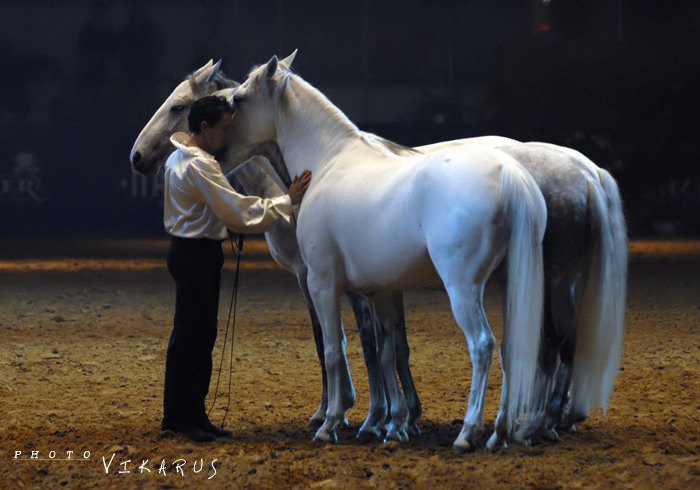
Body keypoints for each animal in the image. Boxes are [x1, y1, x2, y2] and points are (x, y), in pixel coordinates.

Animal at [227, 54, 548, 452]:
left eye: (238, 100)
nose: (219, 152)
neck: (329, 161)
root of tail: (507, 172)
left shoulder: (322, 283)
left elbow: (334, 351)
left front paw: (331, 423)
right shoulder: (381, 290)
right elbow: (387, 353)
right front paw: (392, 425)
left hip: (463, 289)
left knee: (482, 346)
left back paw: (468, 432)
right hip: (508, 283)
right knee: (509, 348)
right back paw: (498, 433)